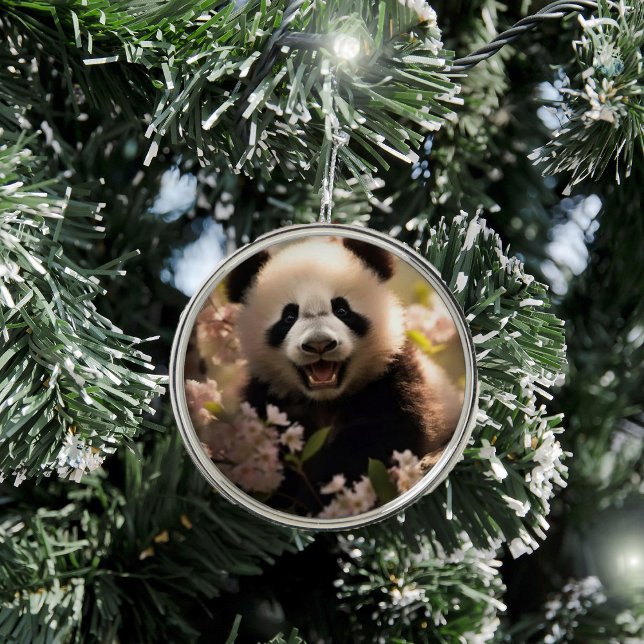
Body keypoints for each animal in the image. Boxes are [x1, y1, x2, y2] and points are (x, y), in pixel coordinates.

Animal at [226, 236, 462, 513]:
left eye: (341, 310)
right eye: (289, 316)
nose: (319, 344)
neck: (326, 400)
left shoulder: (394, 378)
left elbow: (378, 440)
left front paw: (322, 493)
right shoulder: (267, 400)